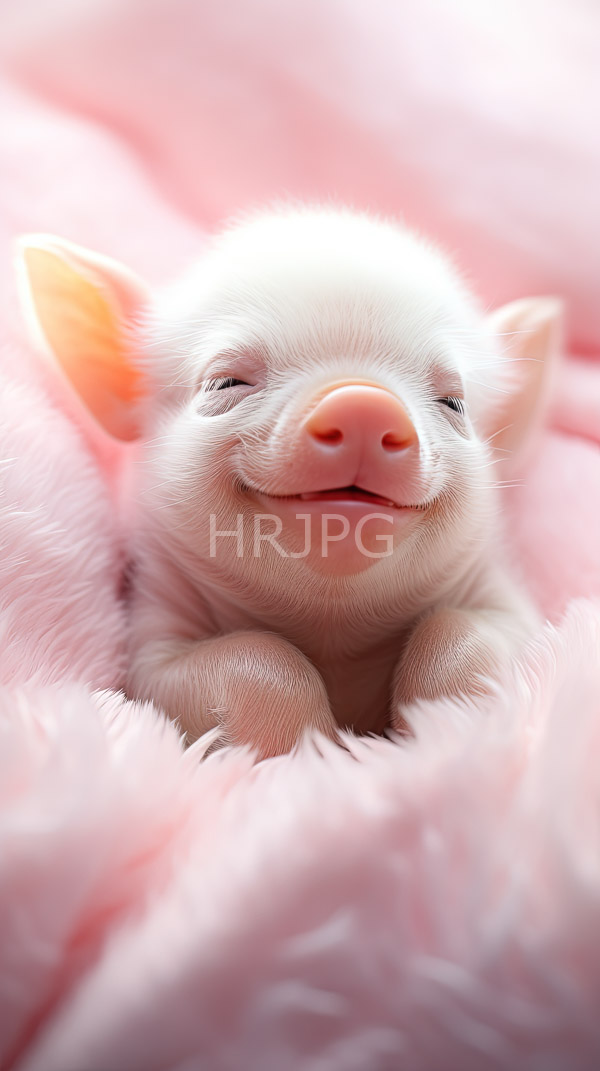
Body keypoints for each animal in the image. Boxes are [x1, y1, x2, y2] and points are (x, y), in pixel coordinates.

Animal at [18, 206, 561, 757]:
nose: (362, 402)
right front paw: (312, 756)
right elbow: (256, 658)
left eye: (453, 402)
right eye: (226, 381)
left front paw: (450, 736)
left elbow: (461, 633)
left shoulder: (513, 611)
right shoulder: (150, 647)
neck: (333, 632)